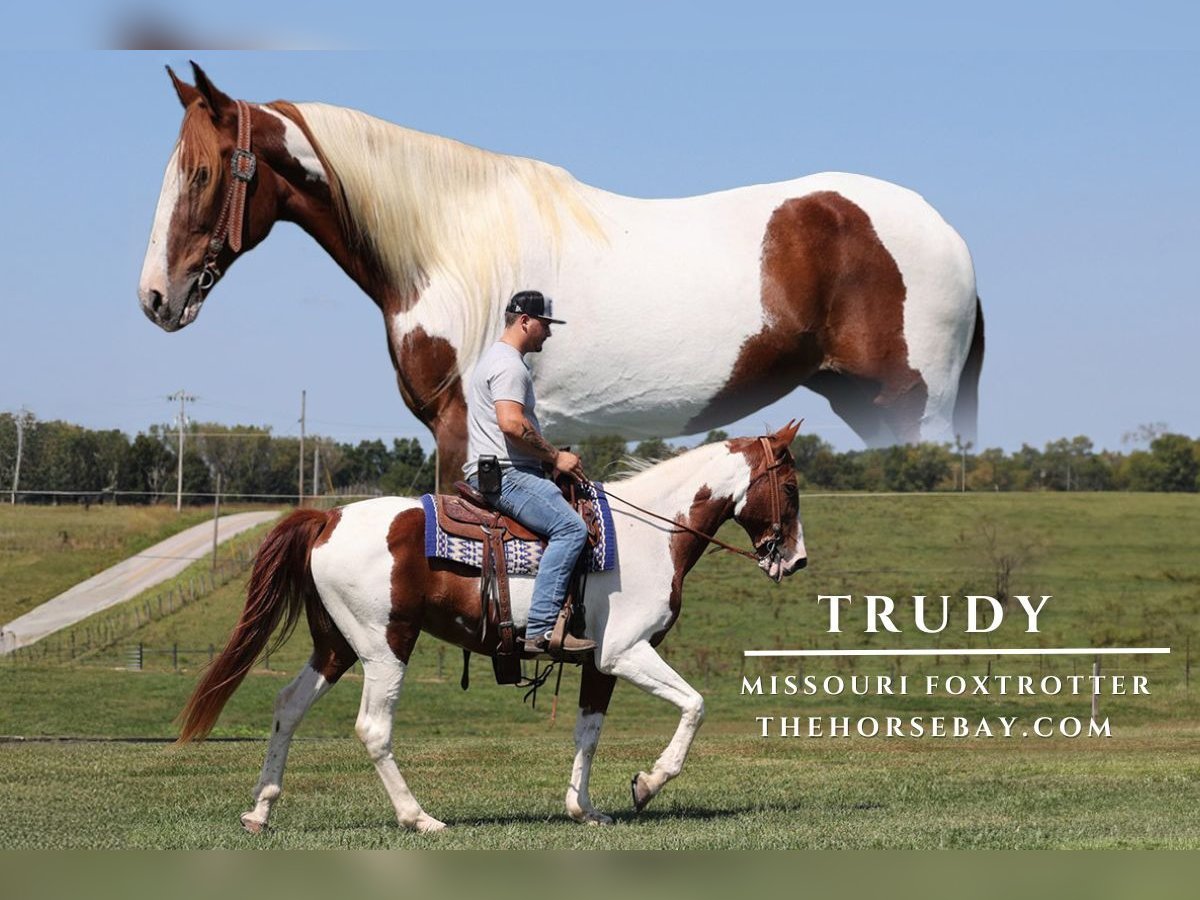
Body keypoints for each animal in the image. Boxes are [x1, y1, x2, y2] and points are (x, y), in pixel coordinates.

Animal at [138, 63, 984, 487]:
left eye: (205, 172)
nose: (155, 298)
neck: (447, 244)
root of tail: (951, 237)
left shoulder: (458, 428)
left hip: (907, 406)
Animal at [175, 422, 806, 830]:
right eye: (791, 487)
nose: (795, 560)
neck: (647, 535)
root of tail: (328, 516)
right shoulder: (626, 653)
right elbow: (694, 705)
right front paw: (647, 785)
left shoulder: (597, 663)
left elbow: (588, 733)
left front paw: (584, 809)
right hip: (385, 646)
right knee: (373, 728)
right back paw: (418, 817)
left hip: (334, 647)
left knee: (287, 706)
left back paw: (260, 810)